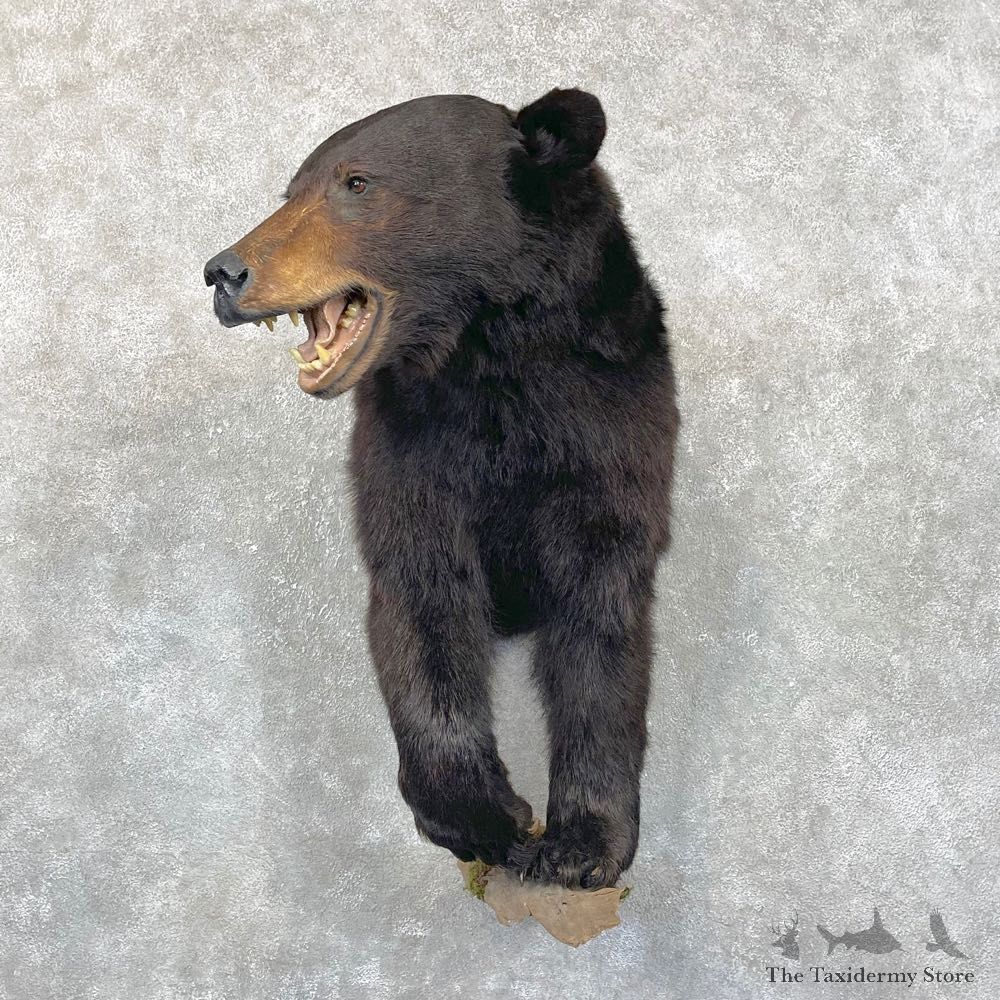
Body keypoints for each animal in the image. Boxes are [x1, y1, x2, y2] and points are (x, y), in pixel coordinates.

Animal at [204, 88, 679, 890]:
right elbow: (421, 597)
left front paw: (583, 844)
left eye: (356, 182)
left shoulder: (607, 425)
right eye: (290, 190)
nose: (224, 273)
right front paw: (487, 818)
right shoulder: (412, 445)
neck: (485, 354)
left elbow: (601, 612)